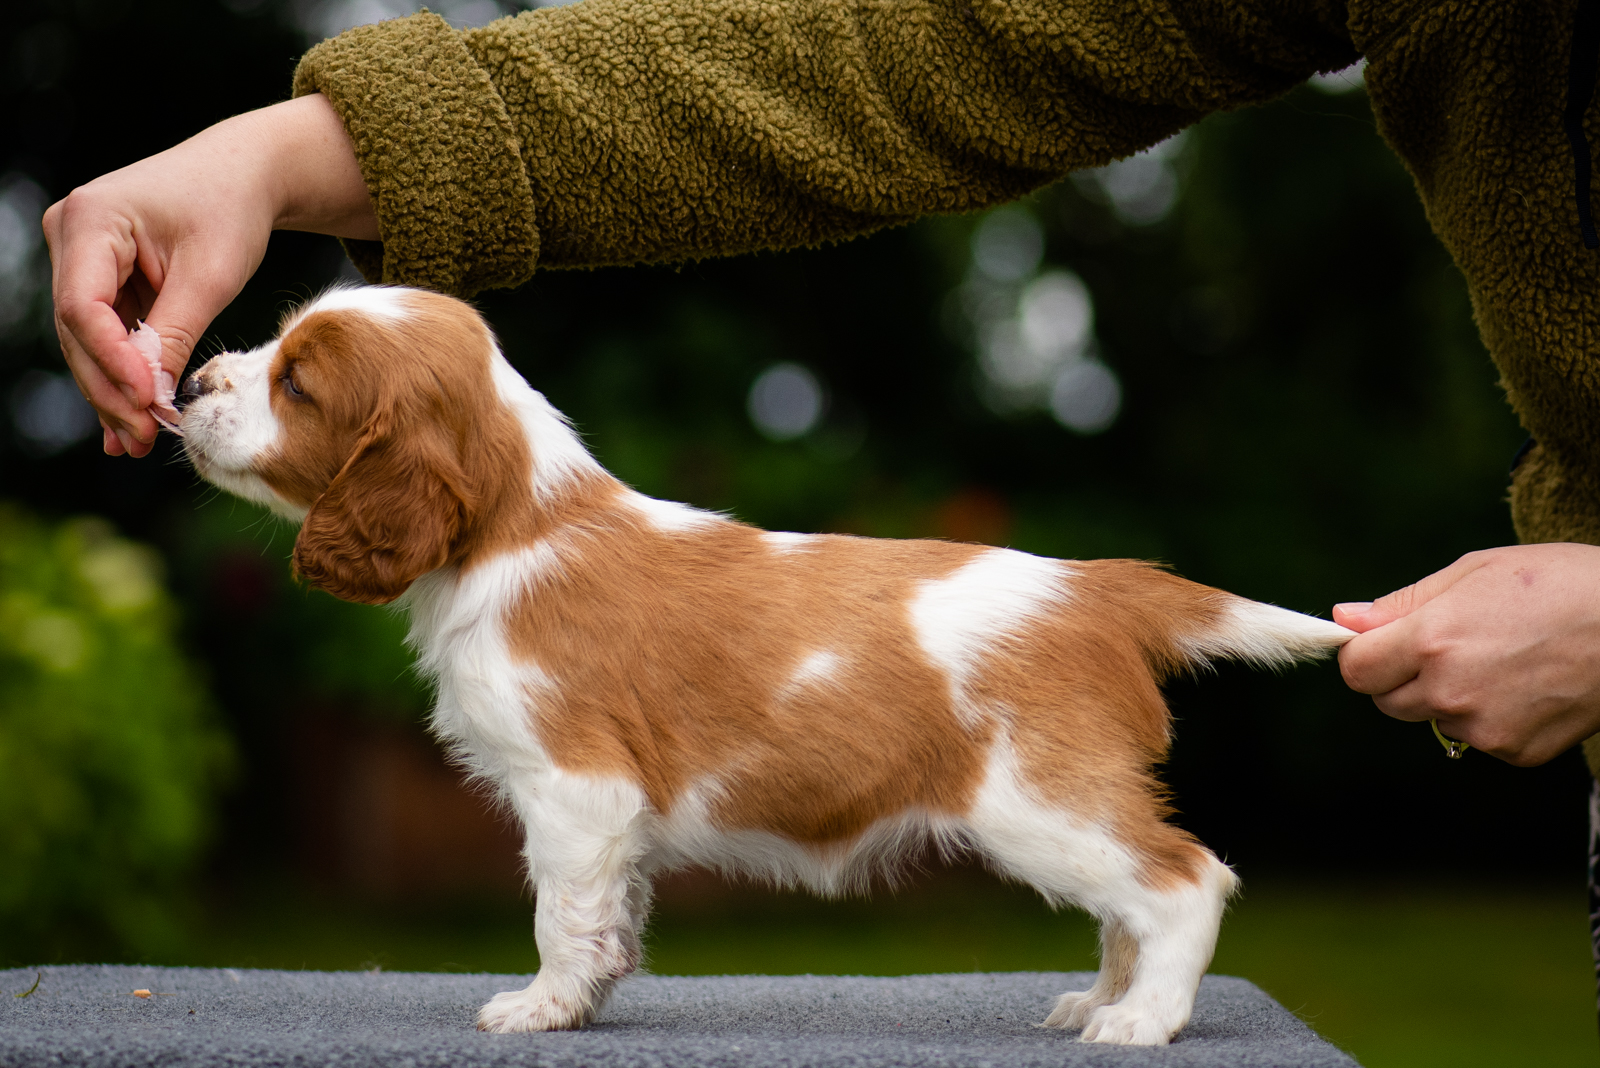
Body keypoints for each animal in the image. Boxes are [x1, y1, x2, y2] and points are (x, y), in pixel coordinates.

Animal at [178, 281, 1350, 1042]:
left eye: (297, 384)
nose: (188, 382)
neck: (520, 525)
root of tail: (1099, 586)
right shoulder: (609, 819)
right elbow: (612, 918)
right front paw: (588, 1001)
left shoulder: (574, 787)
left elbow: (561, 912)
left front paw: (540, 1009)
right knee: (1128, 902)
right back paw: (1103, 999)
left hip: (1040, 801)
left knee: (1182, 880)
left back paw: (1143, 1021)